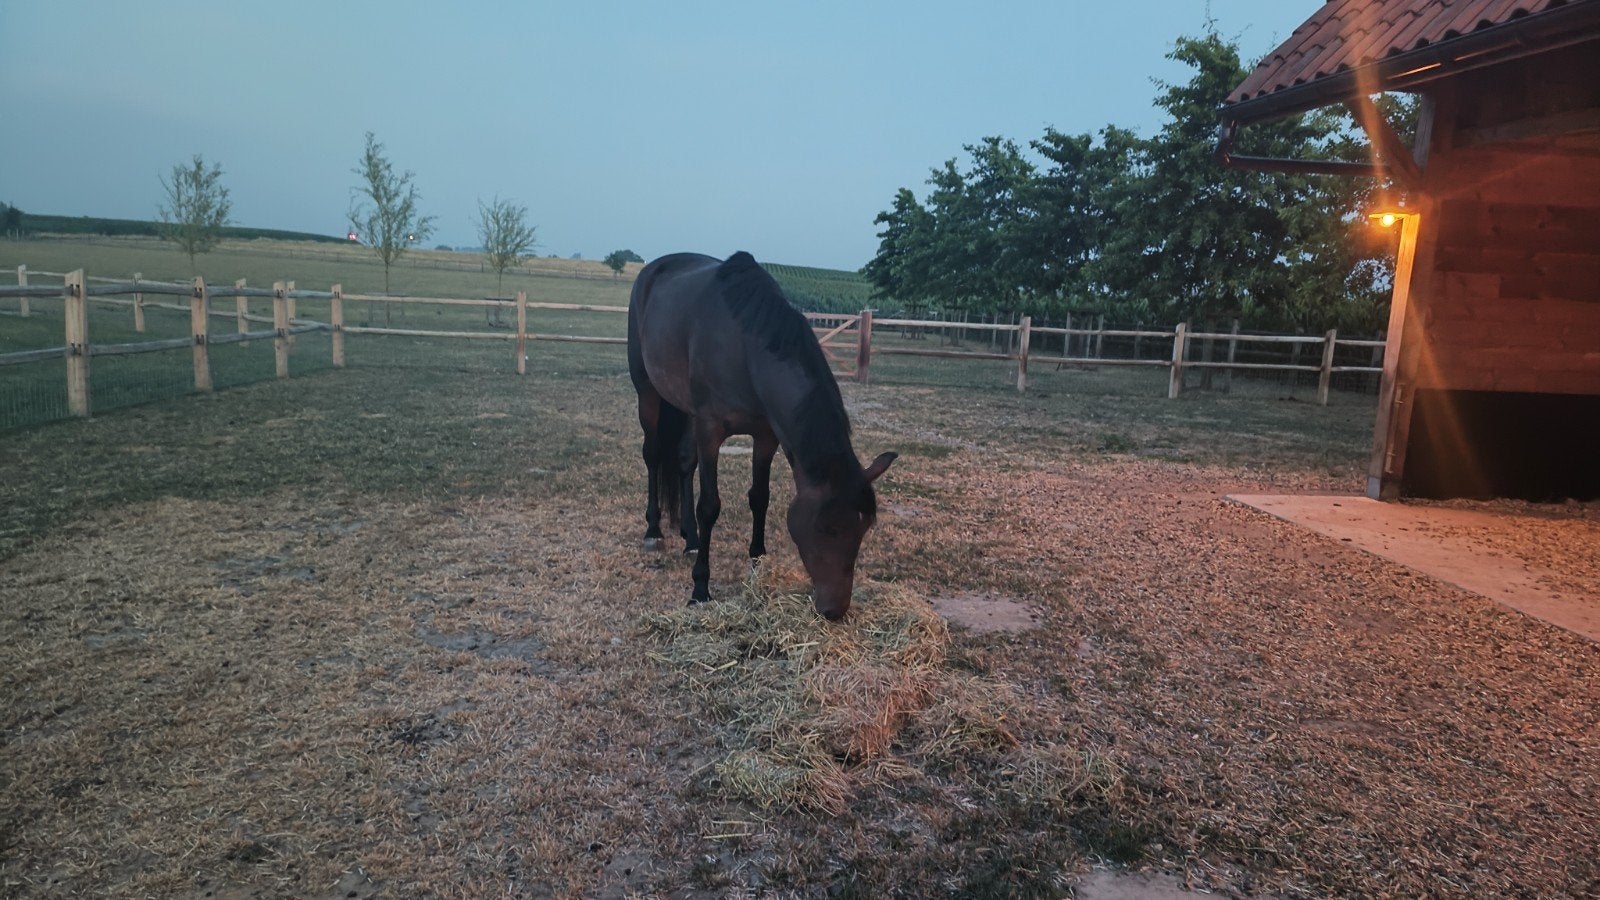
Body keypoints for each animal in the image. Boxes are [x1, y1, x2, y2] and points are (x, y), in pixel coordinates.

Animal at [627, 251, 896, 621]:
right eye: (827, 528)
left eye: (864, 529)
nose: (835, 610)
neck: (743, 347)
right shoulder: (710, 430)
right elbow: (709, 505)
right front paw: (700, 589)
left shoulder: (766, 436)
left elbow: (760, 498)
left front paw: (757, 566)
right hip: (648, 392)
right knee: (653, 455)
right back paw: (654, 531)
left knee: (683, 462)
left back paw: (691, 538)